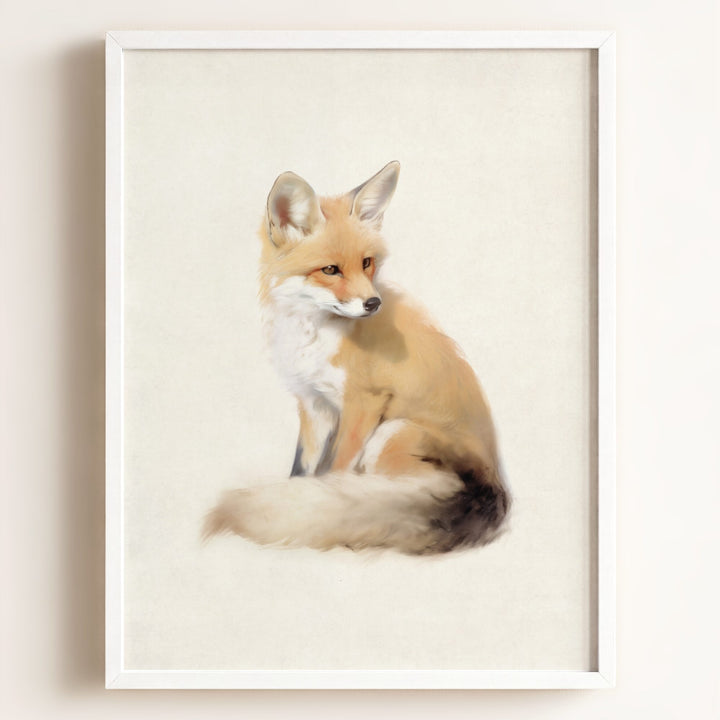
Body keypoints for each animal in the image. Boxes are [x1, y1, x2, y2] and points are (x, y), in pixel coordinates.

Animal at [204, 161, 510, 554]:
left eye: (366, 263)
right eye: (330, 270)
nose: (373, 303)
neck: (312, 337)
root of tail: (495, 487)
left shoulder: (364, 403)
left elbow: (336, 472)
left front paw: (319, 508)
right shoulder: (313, 404)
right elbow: (303, 468)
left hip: (391, 433)